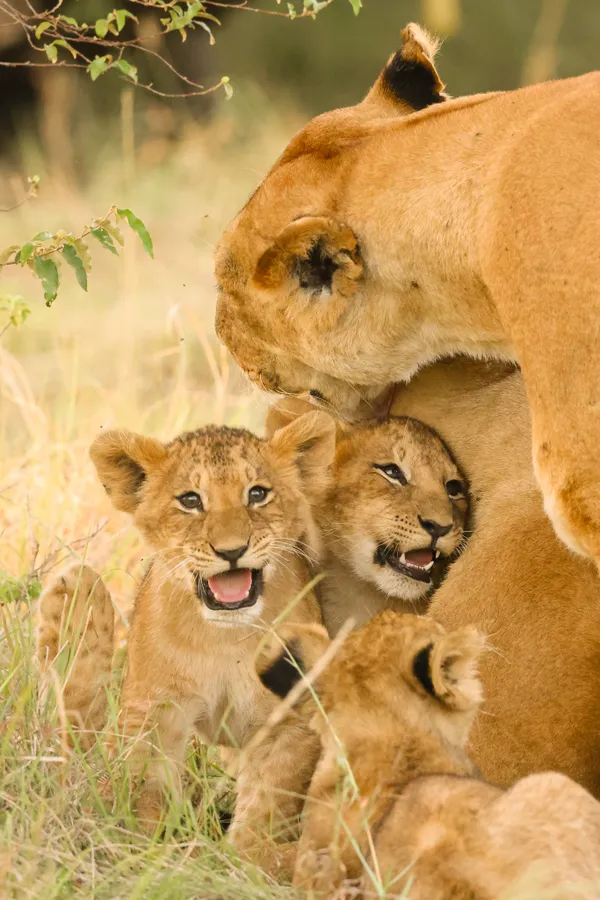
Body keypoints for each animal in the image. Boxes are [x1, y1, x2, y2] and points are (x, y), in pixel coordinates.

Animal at [38, 413, 335, 874]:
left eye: (257, 493)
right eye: (191, 500)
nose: (231, 551)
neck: (225, 637)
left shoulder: (290, 718)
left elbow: (270, 799)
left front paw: (249, 858)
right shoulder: (153, 709)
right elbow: (142, 784)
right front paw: (152, 849)